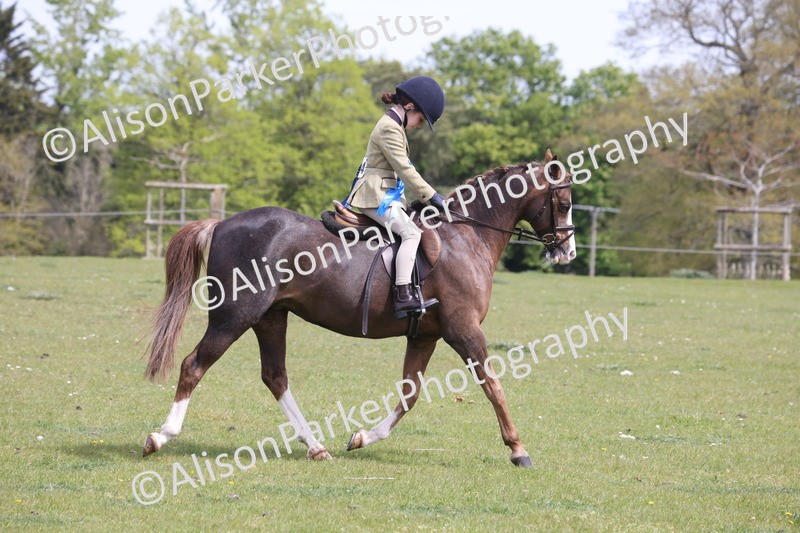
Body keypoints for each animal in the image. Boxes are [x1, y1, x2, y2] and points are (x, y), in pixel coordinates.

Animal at [141, 150, 576, 467]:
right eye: (564, 201)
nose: (567, 252)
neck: (465, 236)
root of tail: (222, 224)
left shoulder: (426, 335)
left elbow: (409, 394)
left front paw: (363, 437)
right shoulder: (463, 330)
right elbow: (492, 385)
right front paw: (518, 450)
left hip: (270, 318)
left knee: (275, 377)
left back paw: (316, 446)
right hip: (235, 317)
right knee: (194, 365)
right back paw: (160, 436)